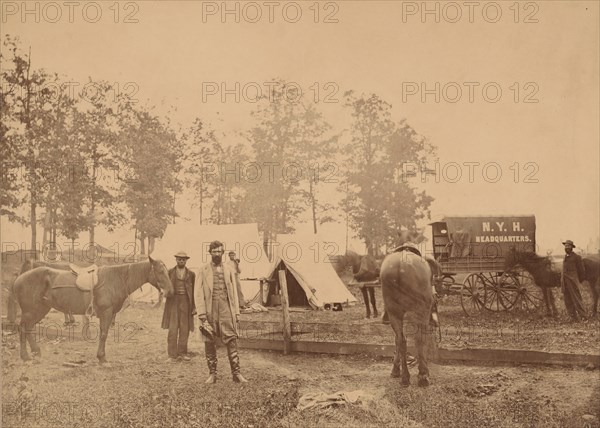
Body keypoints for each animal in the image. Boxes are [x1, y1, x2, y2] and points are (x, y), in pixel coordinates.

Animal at [13, 256, 173, 362]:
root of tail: (19, 278)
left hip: (40, 310)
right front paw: (102, 358)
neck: (115, 280)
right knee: (24, 329)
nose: (170, 292)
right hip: (30, 311)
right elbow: (103, 334)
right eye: (160, 271)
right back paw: (26, 356)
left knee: (29, 328)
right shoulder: (106, 313)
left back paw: (35, 352)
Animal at [382, 249, 434, 386]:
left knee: (401, 340)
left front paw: (395, 370)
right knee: (419, 338)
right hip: (421, 311)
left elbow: (397, 340)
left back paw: (405, 377)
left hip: (394, 312)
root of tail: (401, 264)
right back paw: (423, 374)